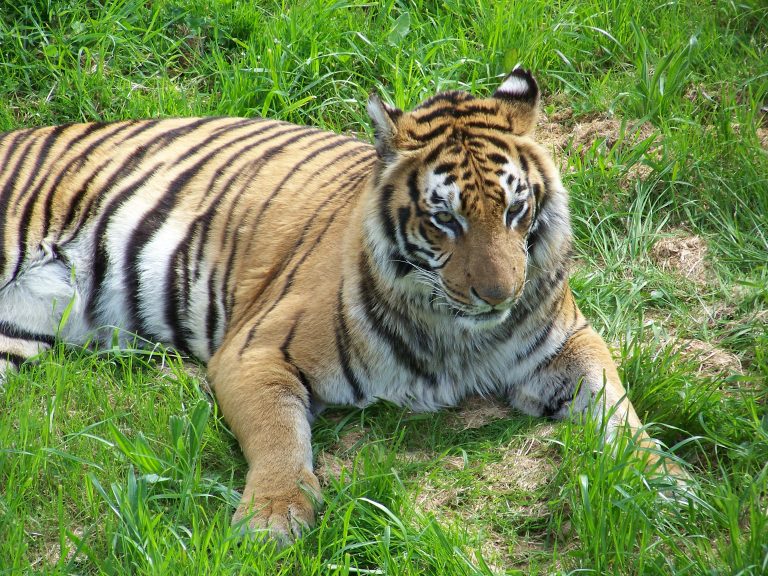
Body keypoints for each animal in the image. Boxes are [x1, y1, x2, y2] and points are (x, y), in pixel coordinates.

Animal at [0, 68, 684, 544]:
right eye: (445, 219)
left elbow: (617, 405)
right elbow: (279, 435)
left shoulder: (571, 342)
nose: (501, 295)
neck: (461, 333)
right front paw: (274, 518)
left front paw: (664, 479)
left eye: (516, 208)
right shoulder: (255, 351)